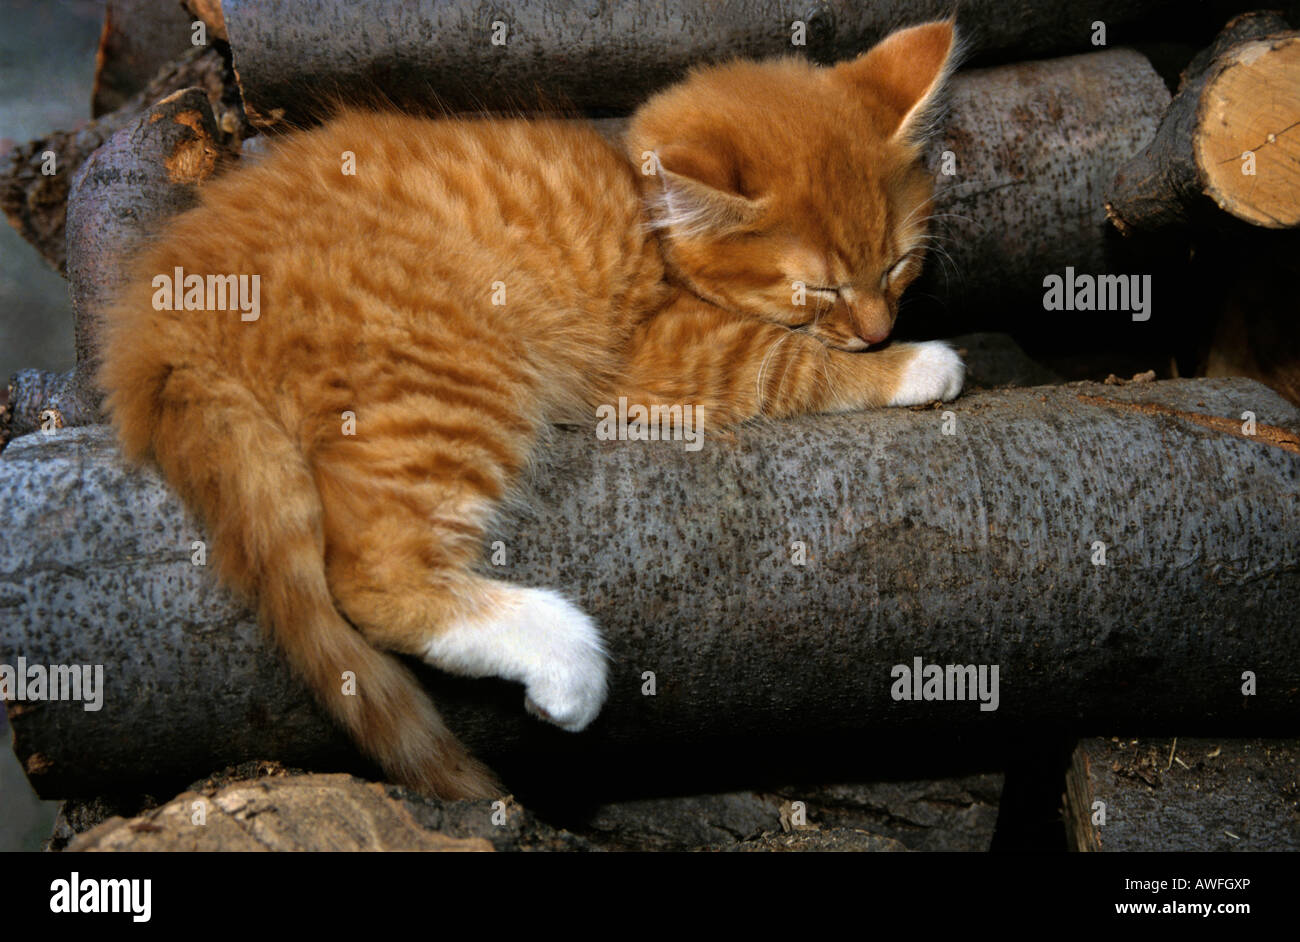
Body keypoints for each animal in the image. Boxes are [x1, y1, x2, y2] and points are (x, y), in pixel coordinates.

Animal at [96, 18, 961, 795]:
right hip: (456, 368)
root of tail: (160, 320)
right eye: (820, 289)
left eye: (899, 265)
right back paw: (563, 658)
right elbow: (785, 362)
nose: (880, 328)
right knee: (373, 575)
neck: (647, 218)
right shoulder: (661, 355)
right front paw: (918, 365)